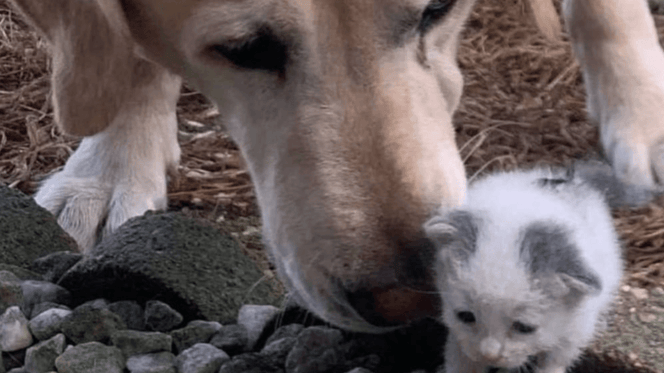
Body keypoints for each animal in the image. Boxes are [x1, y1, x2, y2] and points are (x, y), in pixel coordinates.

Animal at [426, 164, 632, 372]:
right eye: (465, 316)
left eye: (524, 328)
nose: (490, 355)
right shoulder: (458, 333)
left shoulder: (578, 327)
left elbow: (556, 360)